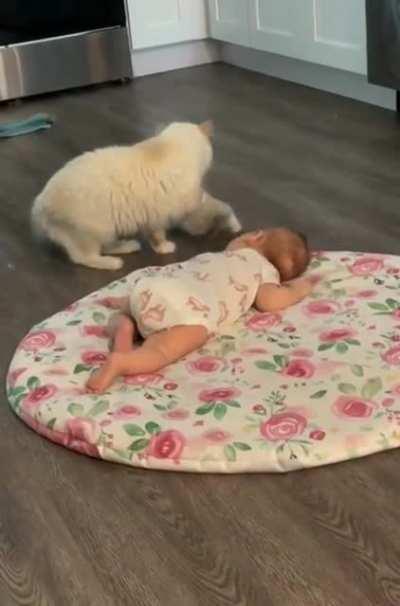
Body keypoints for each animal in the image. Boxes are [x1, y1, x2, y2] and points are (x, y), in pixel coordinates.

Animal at [32, 121, 240, 270]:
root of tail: (39, 203)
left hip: (109, 230)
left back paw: (130, 245)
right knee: (84, 257)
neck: (167, 147)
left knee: (105, 247)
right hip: (96, 231)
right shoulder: (168, 214)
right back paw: (114, 263)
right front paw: (165, 248)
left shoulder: (153, 216)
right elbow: (160, 235)